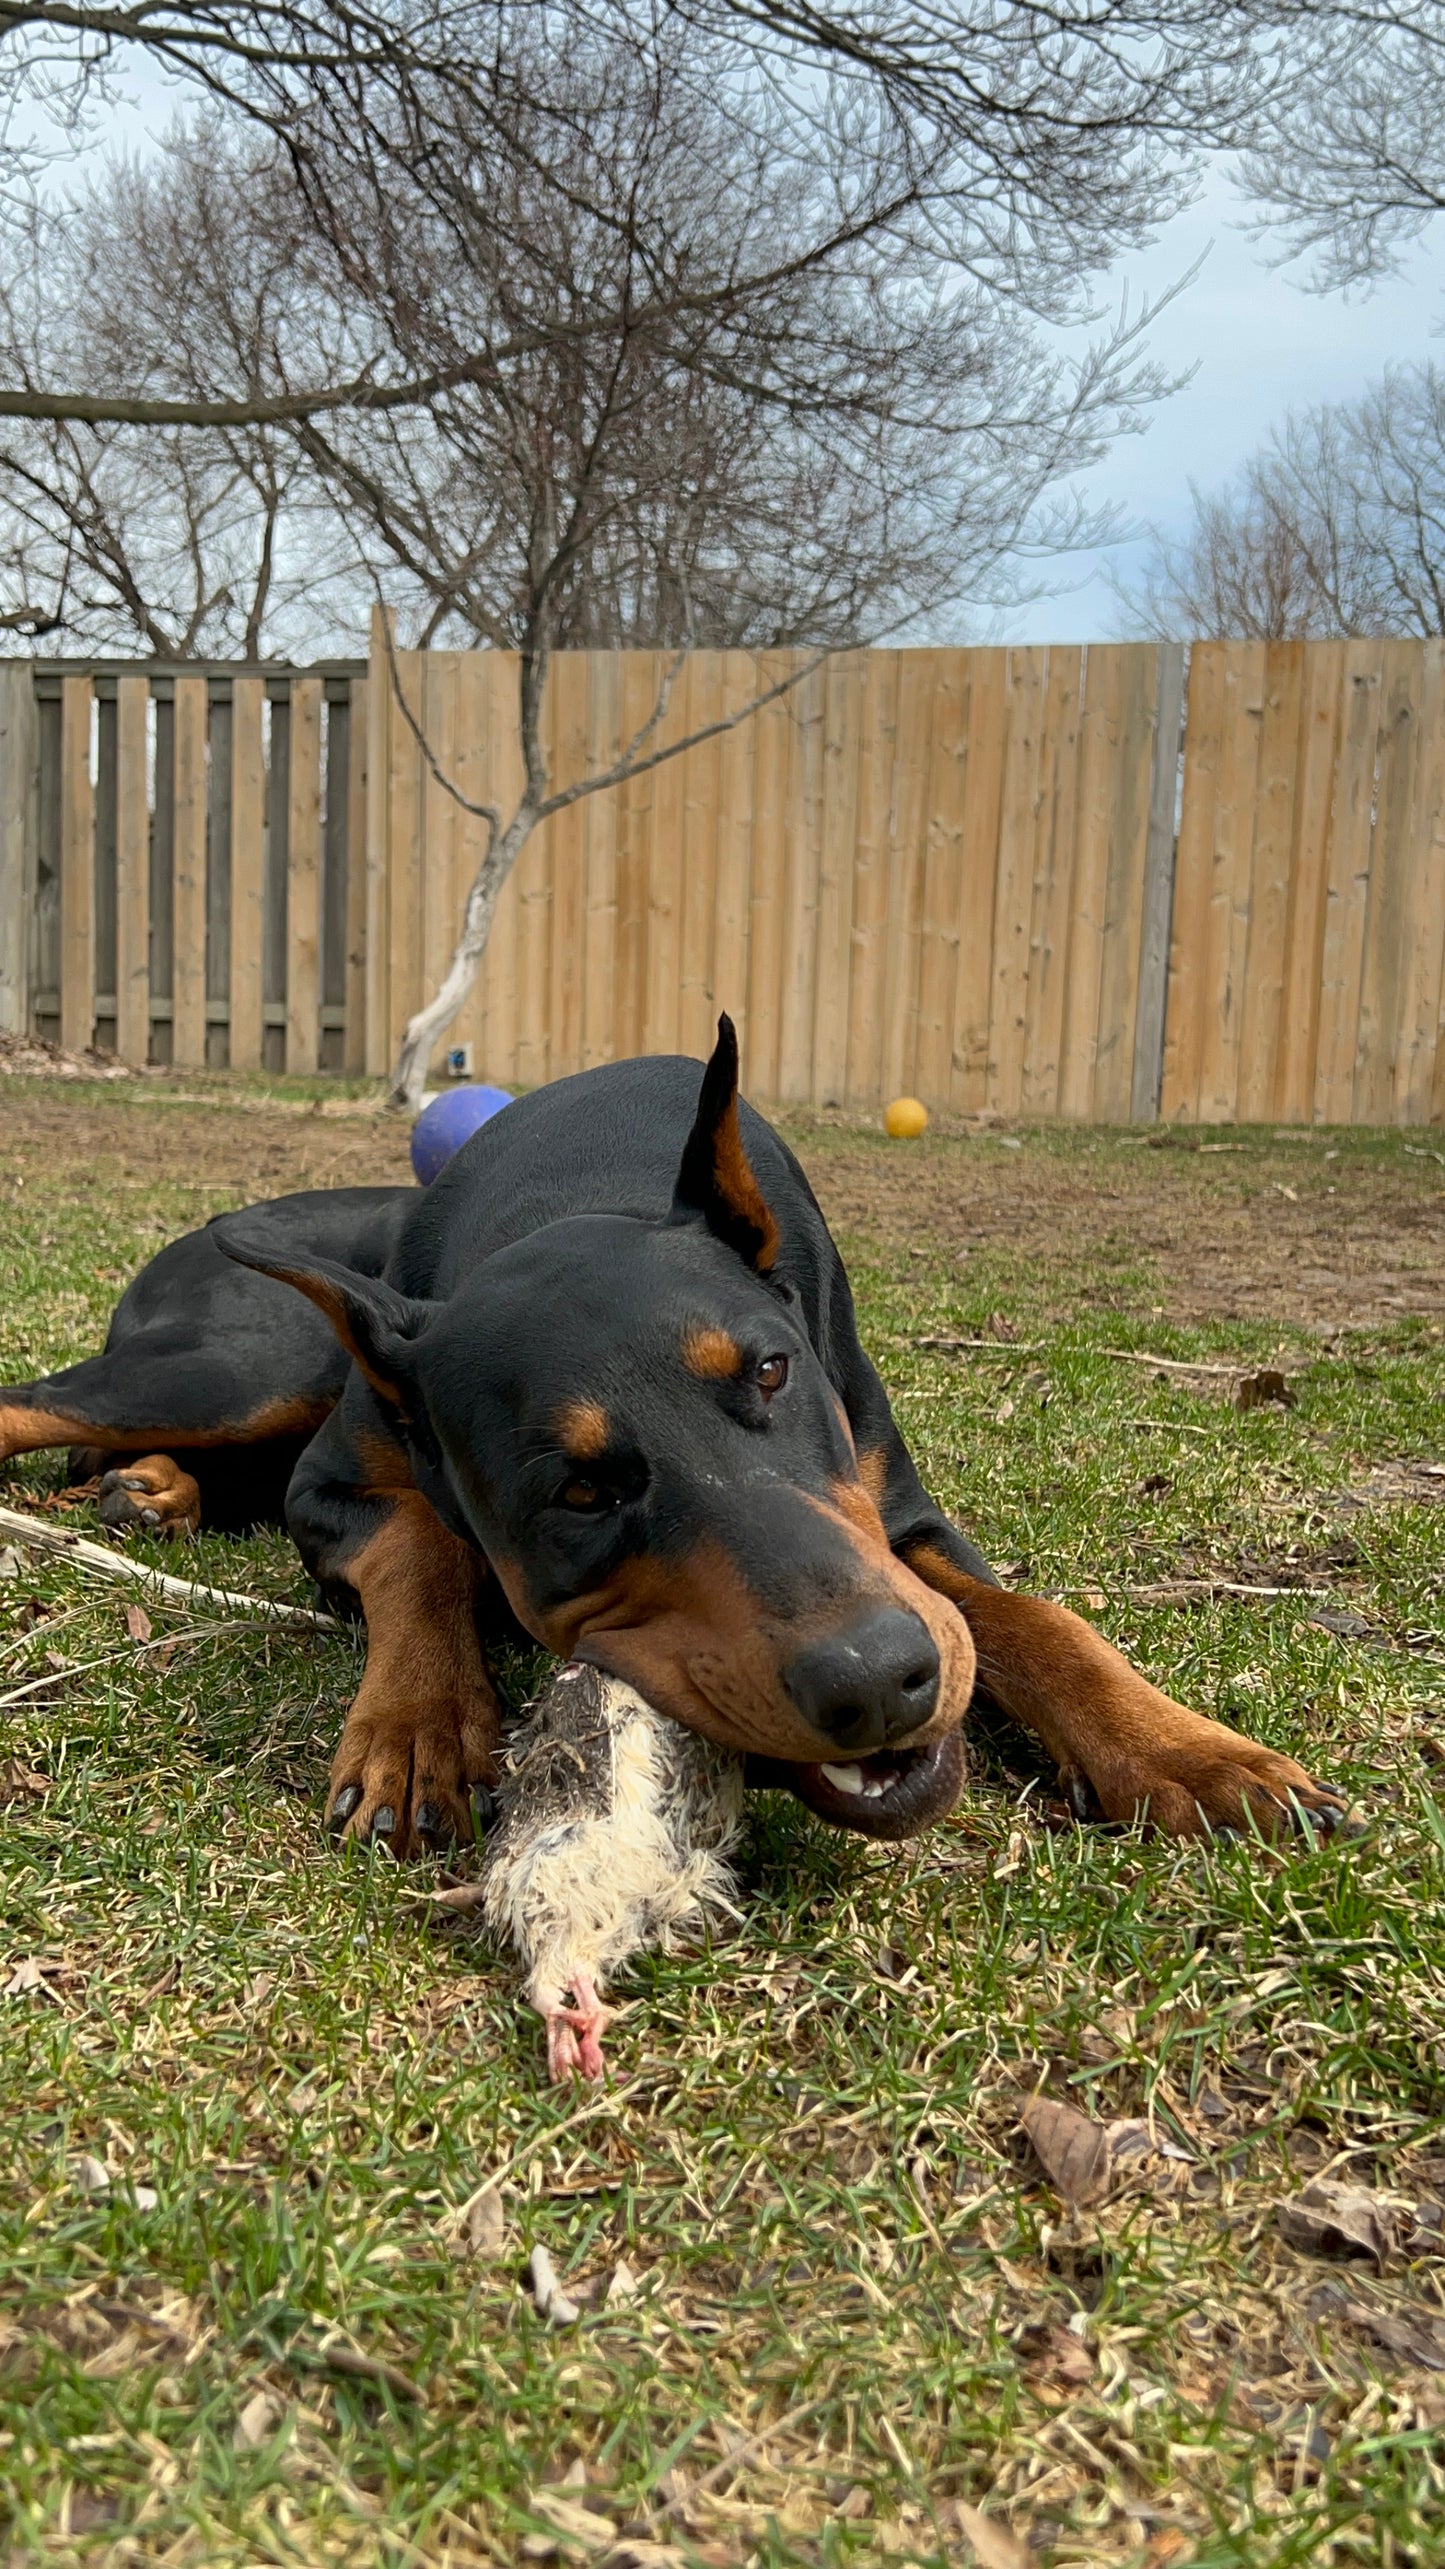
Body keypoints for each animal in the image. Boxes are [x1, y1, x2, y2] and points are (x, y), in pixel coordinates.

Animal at [2, 1017, 1347, 1849]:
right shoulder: (332, 1487)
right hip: (239, 1366)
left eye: (770, 1370)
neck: (574, 1192)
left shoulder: (896, 1512)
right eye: (576, 1494)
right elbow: (423, 1544)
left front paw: (1188, 1753)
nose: (877, 1678)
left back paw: (153, 1490)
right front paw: (419, 1726)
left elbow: (1025, 1616)